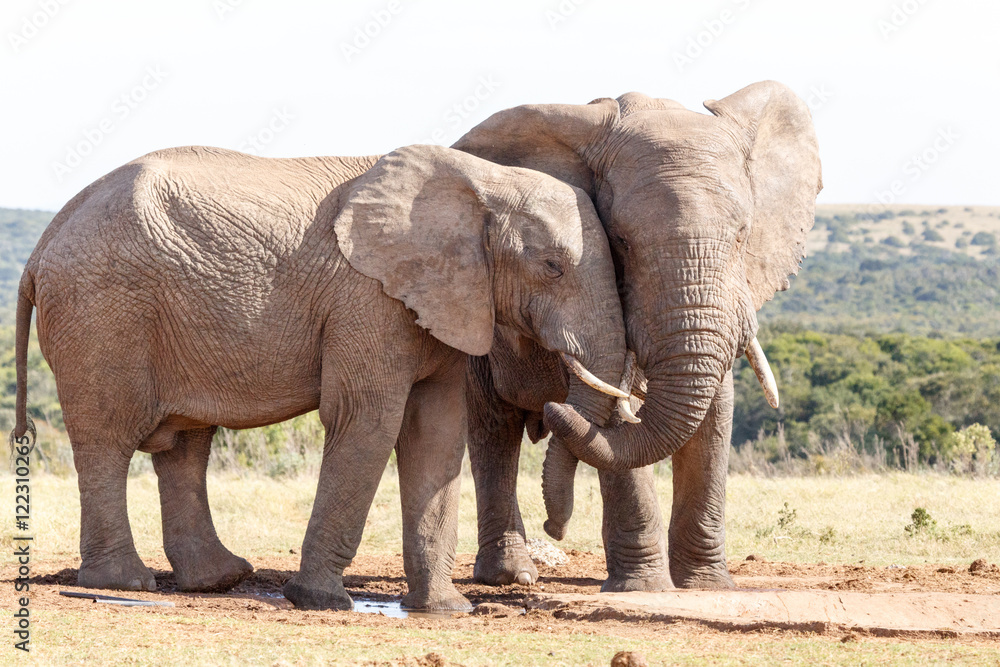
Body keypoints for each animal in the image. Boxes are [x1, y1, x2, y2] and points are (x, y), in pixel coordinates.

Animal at [9, 143, 632, 611]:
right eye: (552, 267)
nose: (555, 530)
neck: (482, 182)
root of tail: (41, 246)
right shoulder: (369, 298)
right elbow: (368, 422)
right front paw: (321, 602)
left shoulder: (444, 302)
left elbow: (435, 432)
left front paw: (446, 611)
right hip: (101, 315)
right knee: (108, 440)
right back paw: (124, 583)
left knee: (185, 444)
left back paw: (219, 579)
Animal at [453, 81, 821, 590]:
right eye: (621, 242)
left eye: (743, 236)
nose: (556, 527)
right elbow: (613, 409)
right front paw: (646, 589)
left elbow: (715, 413)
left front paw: (706, 587)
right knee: (494, 430)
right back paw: (513, 576)